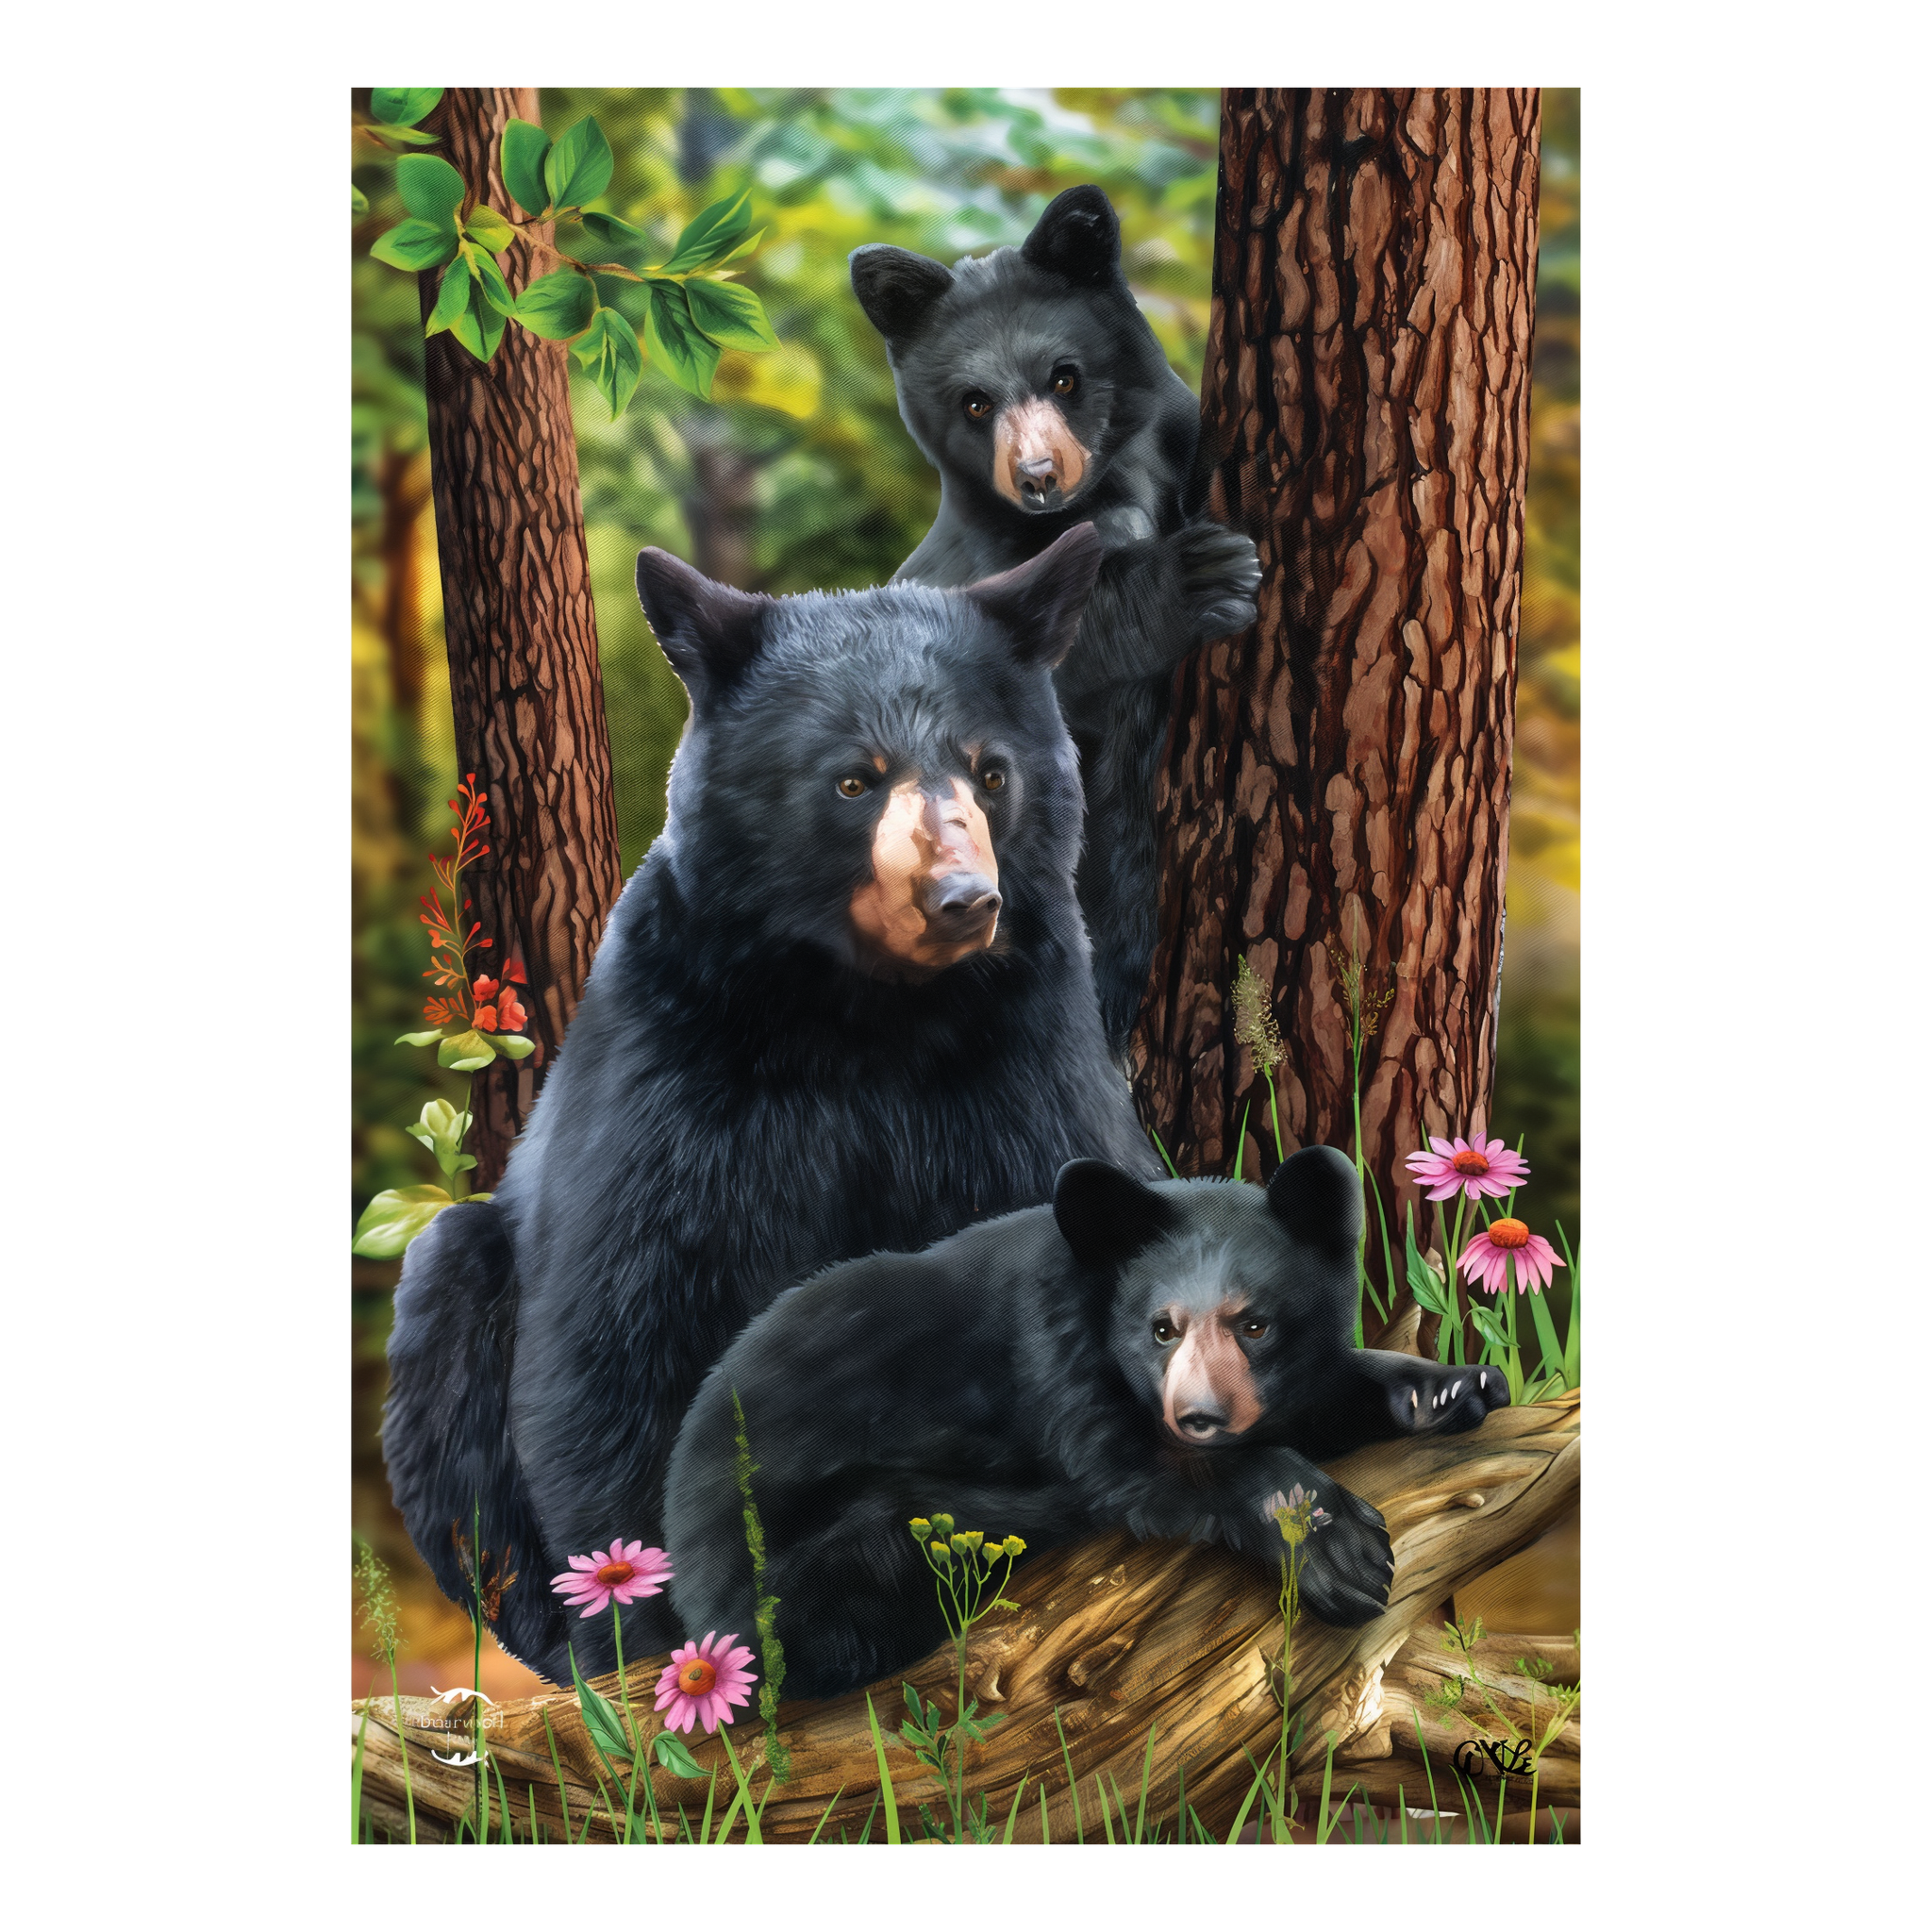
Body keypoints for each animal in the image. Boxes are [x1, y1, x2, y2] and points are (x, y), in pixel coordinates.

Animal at [384, 525, 1165, 1686]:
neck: (867, 1017)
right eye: (852, 779)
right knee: (452, 1305)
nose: (963, 901)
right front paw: (664, 1636)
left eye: (991, 771)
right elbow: (624, 1330)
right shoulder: (679, 1055)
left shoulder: (1025, 1051)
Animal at [662, 1145, 1510, 1701]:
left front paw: (1453, 1386)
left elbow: (1328, 1388)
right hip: (814, 1561)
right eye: (1162, 1329)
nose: (1200, 1416)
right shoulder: (1052, 1355)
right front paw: (1338, 1547)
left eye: (1255, 1324)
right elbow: (1137, 1469)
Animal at [850, 184, 1264, 1057]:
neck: (1108, 497)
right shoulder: (980, 565)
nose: (1038, 476)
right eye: (975, 402)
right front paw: (1206, 575)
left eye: (1065, 378)